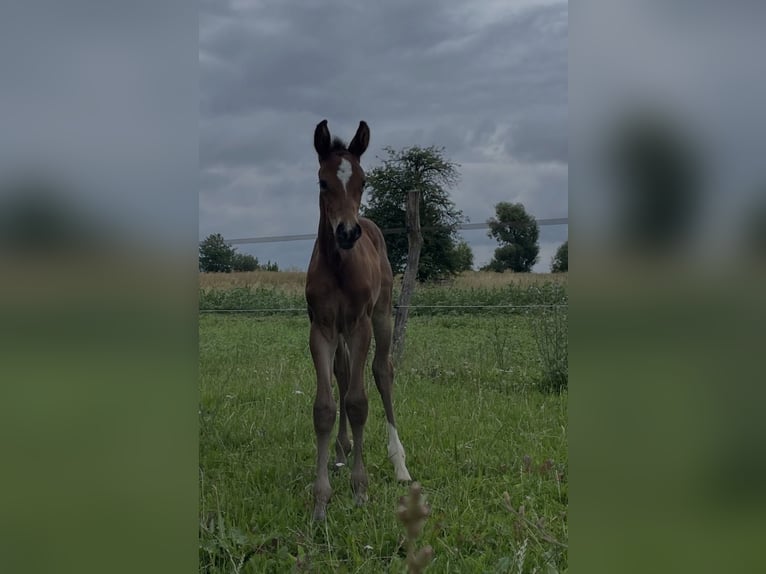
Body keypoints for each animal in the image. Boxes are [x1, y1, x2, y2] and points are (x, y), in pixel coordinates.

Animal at [305, 119, 411, 521]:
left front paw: (359, 489)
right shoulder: (321, 328)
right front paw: (321, 500)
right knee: (344, 371)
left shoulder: (361, 324)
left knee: (382, 371)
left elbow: (358, 402)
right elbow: (325, 407)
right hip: (340, 332)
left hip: (381, 317)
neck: (338, 266)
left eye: (364, 181)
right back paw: (341, 450)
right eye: (322, 182)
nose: (348, 232)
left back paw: (400, 465)